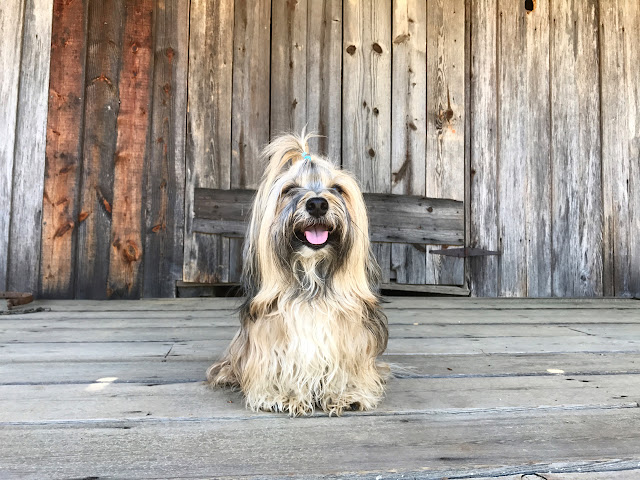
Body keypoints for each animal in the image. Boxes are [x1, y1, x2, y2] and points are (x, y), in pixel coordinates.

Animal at [209, 132, 390, 416]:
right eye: (290, 189)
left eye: (337, 189)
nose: (317, 204)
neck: (311, 280)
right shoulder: (270, 339)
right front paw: (283, 395)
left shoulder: (350, 337)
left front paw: (346, 393)